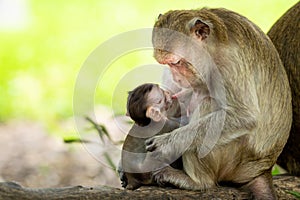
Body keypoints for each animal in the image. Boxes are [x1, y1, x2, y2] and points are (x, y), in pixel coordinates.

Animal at [146, 7, 292, 198]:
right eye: (168, 64)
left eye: (176, 62)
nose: (175, 77)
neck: (213, 48)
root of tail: (262, 169)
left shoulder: (228, 64)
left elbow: (245, 117)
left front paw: (166, 143)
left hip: (233, 160)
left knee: (208, 105)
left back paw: (198, 182)